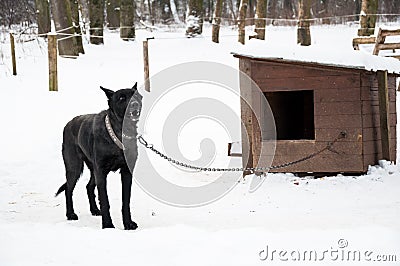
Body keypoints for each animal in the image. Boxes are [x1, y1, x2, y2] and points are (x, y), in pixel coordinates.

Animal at [54, 83, 142, 229]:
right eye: (122, 98)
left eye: (137, 96)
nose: (135, 104)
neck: (119, 132)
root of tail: (69, 123)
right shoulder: (101, 171)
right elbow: (105, 200)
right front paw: (108, 225)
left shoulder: (126, 172)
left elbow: (126, 201)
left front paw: (128, 223)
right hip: (74, 168)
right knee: (68, 189)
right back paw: (70, 214)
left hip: (92, 169)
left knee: (89, 187)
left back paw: (94, 210)